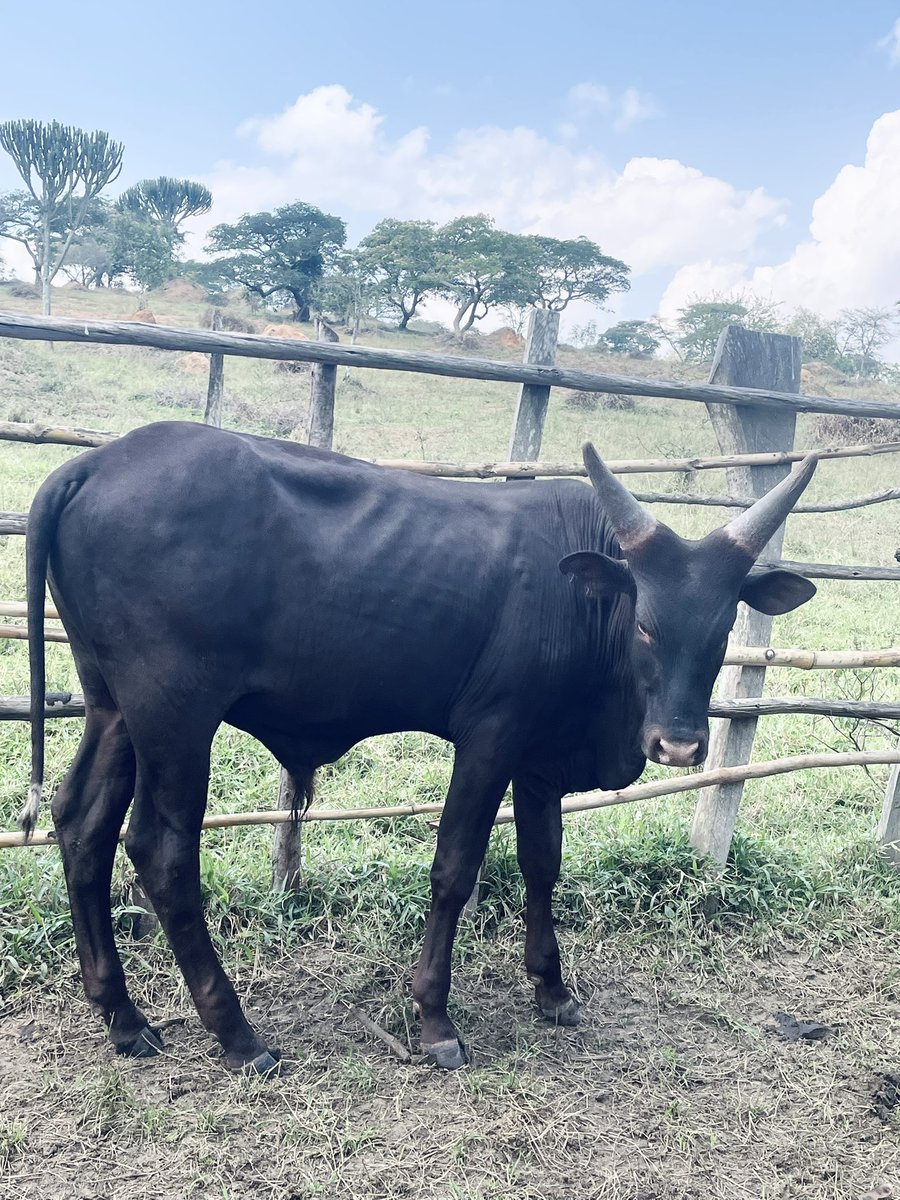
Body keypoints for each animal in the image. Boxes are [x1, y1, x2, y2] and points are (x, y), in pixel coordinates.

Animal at [21, 422, 817, 1072]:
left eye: (722, 628)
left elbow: (542, 865)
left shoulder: (538, 760)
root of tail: (92, 464)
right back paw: (237, 1034)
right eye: (646, 622)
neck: (584, 603)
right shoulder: (490, 737)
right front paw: (435, 1019)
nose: (678, 745)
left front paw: (552, 988)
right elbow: (455, 869)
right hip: (177, 715)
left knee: (82, 824)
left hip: (114, 710)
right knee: (161, 850)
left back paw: (125, 1018)